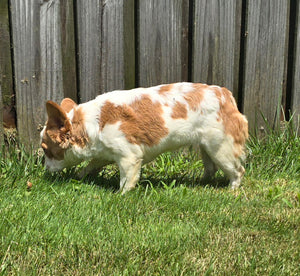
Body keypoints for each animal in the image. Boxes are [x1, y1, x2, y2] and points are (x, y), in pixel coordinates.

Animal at [40, 83, 248, 193]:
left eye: (46, 150)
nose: (45, 168)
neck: (91, 123)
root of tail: (226, 95)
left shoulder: (129, 157)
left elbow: (126, 180)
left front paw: (120, 195)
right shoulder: (105, 153)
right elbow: (91, 165)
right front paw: (80, 176)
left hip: (221, 149)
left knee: (238, 170)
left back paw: (232, 190)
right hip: (207, 148)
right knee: (211, 169)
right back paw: (200, 183)